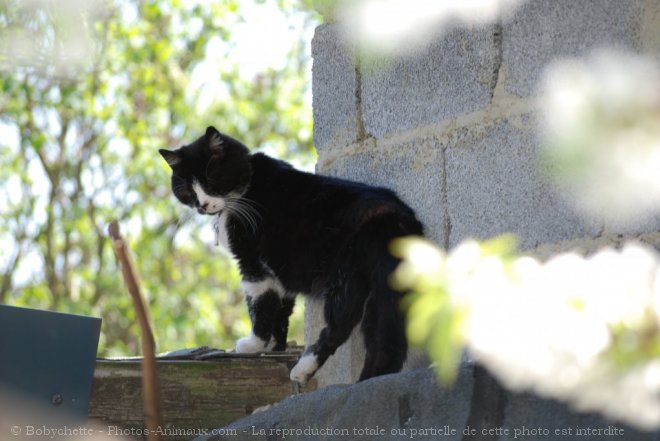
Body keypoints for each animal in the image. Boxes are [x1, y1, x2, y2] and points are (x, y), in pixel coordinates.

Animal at [162, 126, 426, 382]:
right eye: (187, 190)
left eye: (211, 179)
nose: (202, 205)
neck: (245, 188)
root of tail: (394, 216)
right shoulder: (278, 267)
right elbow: (281, 308)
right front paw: (275, 346)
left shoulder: (252, 264)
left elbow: (259, 305)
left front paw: (254, 344)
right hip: (386, 287)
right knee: (384, 338)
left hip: (343, 276)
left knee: (340, 325)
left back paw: (303, 369)